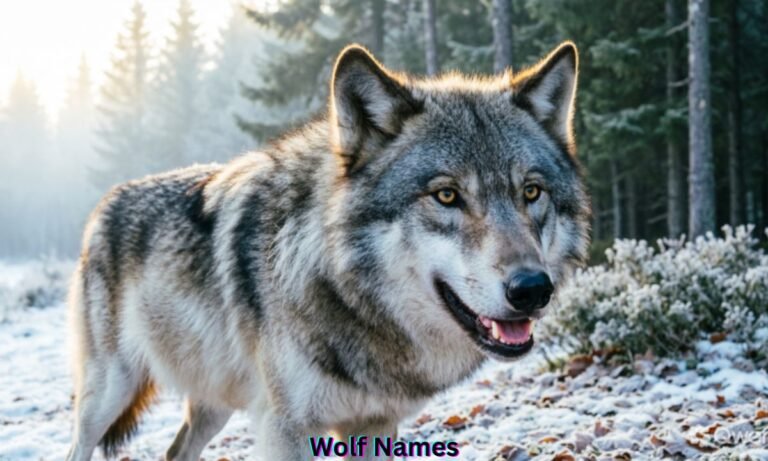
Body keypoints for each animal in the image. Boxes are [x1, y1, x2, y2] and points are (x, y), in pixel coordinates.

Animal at [66, 41, 589, 461]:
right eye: (446, 195)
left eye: (531, 192)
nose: (532, 289)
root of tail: (103, 207)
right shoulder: (285, 428)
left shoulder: (375, 423)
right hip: (108, 394)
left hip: (214, 403)